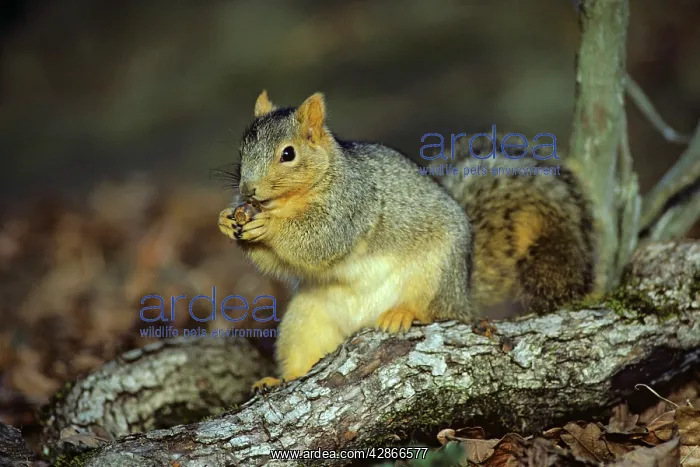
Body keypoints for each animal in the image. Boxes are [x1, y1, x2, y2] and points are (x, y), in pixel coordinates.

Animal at [218, 91, 597, 391]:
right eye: (242, 150)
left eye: (288, 154)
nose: (248, 190)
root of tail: (463, 293)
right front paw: (227, 219)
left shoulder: (351, 206)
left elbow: (319, 238)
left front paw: (267, 226)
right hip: (305, 320)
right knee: (302, 354)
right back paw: (282, 379)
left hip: (435, 276)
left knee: (433, 311)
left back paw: (401, 314)